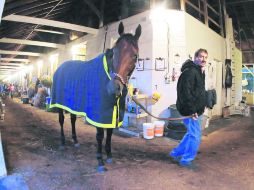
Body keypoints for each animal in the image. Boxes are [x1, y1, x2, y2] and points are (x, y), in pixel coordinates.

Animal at [49, 21, 141, 172]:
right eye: (114, 53)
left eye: (135, 56)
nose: (113, 87)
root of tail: (60, 67)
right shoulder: (99, 112)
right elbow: (100, 135)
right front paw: (100, 161)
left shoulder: (113, 111)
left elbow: (109, 133)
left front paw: (109, 155)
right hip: (60, 103)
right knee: (62, 120)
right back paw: (62, 142)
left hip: (73, 103)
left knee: (72, 120)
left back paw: (75, 140)